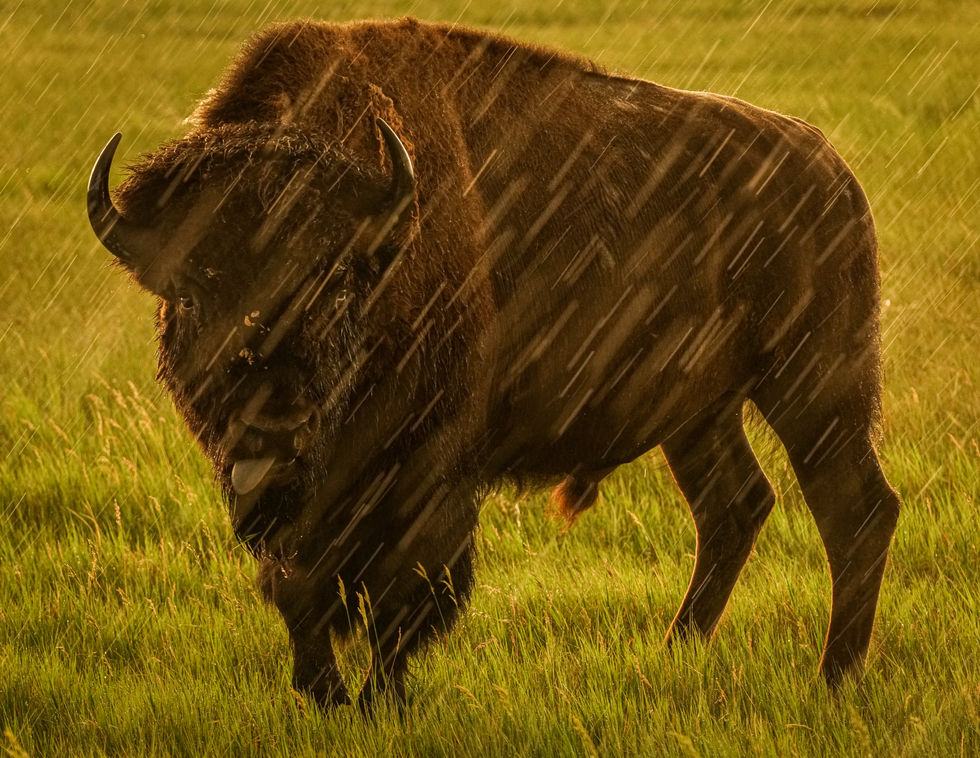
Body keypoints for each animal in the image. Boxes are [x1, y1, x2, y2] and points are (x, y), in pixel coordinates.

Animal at [88, 17, 900, 707]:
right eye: (189, 294)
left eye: (337, 279)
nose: (274, 432)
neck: (388, 241)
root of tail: (835, 173)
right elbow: (300, 588)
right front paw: (326, 697)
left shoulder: (426, 466)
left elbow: (405, 591)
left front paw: (380, 702)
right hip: (700, 414)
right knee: (735, 505)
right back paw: (677, 651)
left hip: (815, 385)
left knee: (856, 510)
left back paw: (833, 681)